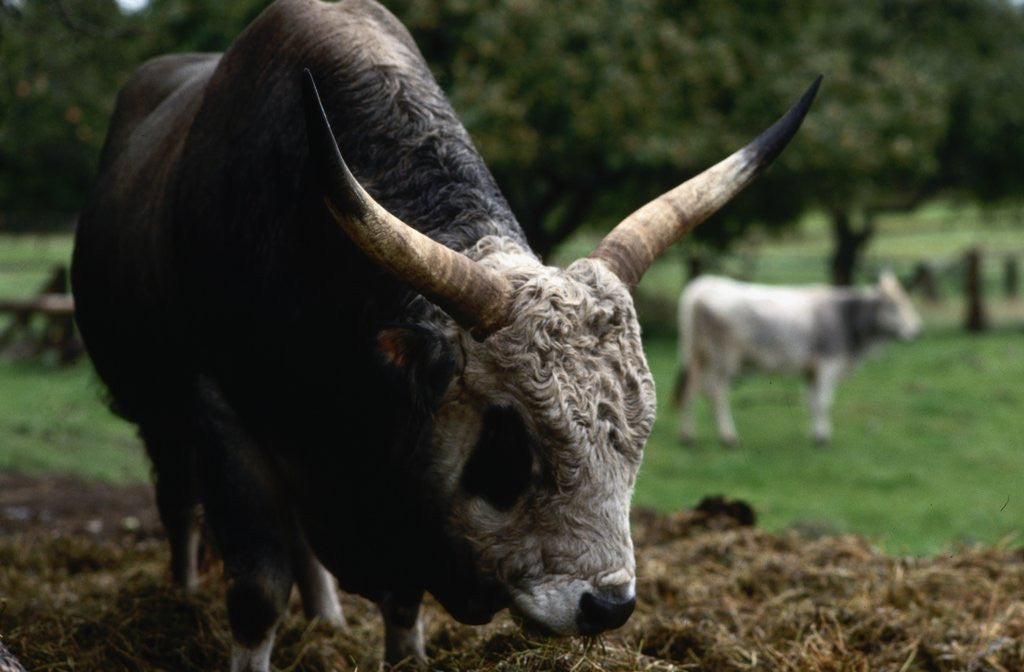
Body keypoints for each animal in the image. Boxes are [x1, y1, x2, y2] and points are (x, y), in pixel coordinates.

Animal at [70, 0, 818, 668]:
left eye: (639, 437)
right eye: (508, 438)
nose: (608, 606)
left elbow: (402, 608)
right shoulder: (221, 413)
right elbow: (257, 591)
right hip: (160, 416)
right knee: (180, 506)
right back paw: (182, 598)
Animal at [675, 271, 922, 446]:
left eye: (907, 302)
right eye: (894, 306)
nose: (917, 330)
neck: (845, 316)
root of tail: (703, 284)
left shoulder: (810, 370)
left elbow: (811, 401)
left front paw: (816, 434)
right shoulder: (827, 364)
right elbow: (823, 401)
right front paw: (823, 437)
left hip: (698, 357)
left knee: (691, 390)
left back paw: (688, 436)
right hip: (724, 358)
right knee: (716, 393)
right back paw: (728, 437)